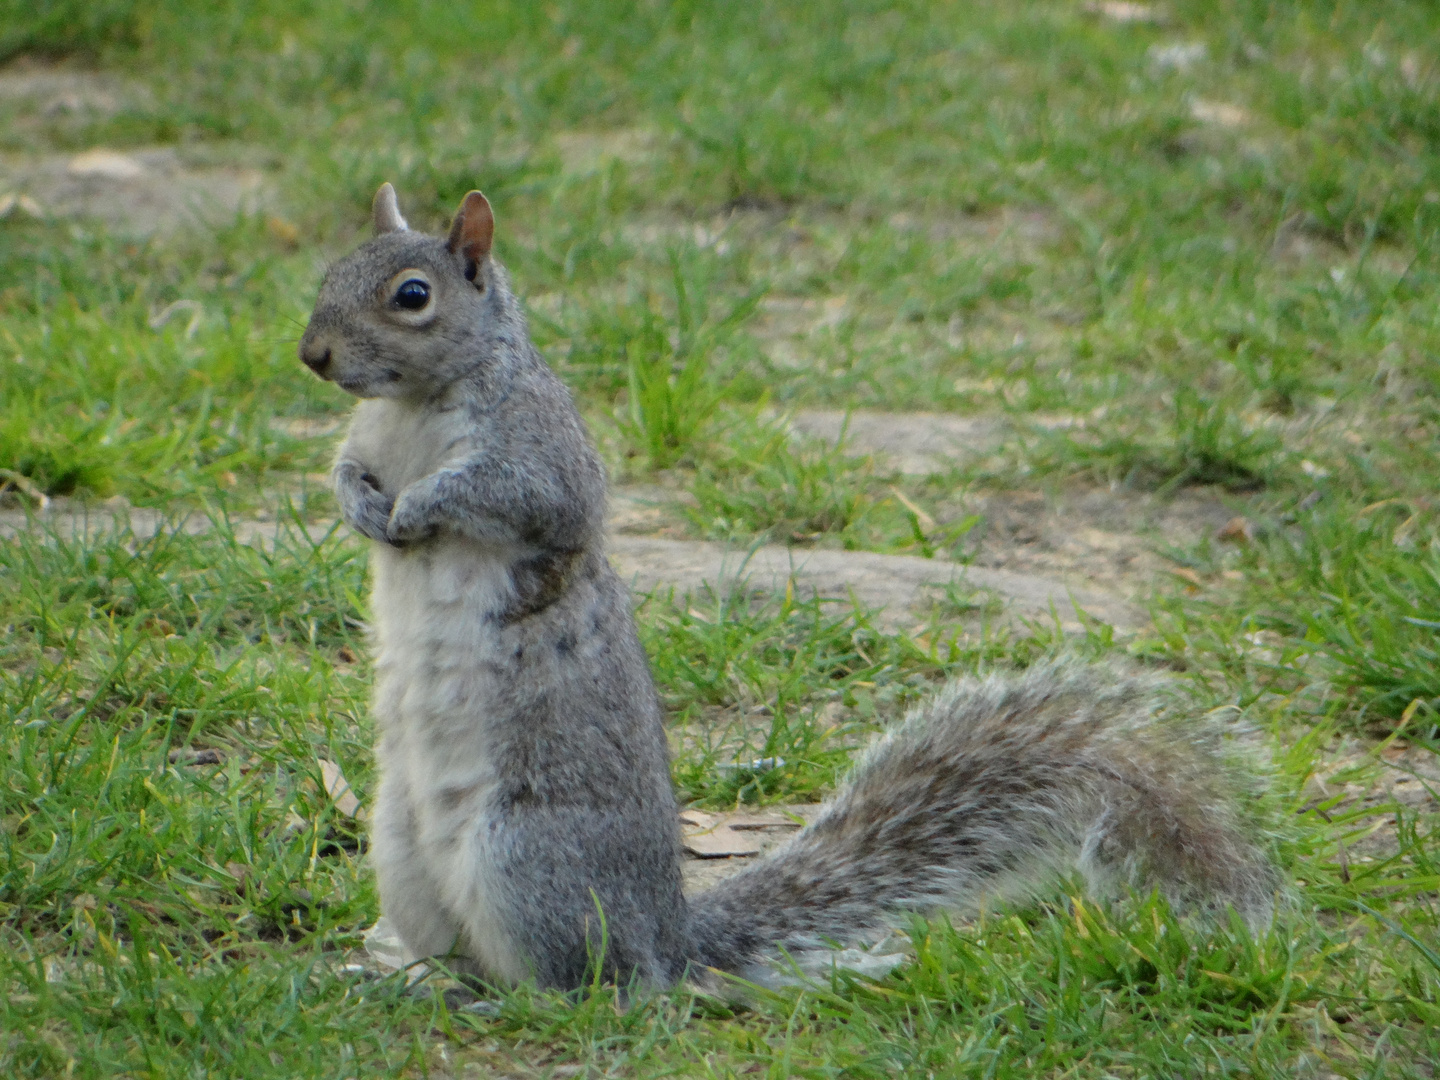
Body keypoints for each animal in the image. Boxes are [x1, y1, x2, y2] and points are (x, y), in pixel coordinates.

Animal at [298, 182, 1278, 996]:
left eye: (413, 296)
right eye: (330, 270)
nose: (313, 354)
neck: (415, 408)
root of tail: (671, 940)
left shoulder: (542, 454)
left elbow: (522, 500)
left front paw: (421, 504)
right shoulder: (370, 438)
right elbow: (344, 468)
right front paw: (360, 502)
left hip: (526, 863)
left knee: (594, 990)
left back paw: (520, 1001)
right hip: (401, 853)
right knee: (470, 957)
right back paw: (404, 981)